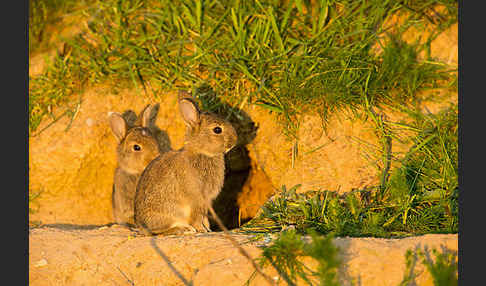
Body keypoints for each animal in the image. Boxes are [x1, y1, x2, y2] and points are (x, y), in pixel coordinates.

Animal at [135, 91, 237, 235]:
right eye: (217, 130)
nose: (234, 141)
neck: (202, 152)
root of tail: (141, 226)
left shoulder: (206, 202)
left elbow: (204, 217)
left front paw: (208, 229)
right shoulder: (197, 198)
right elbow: (197, 216)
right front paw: (201, 230)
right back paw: (183, 229)